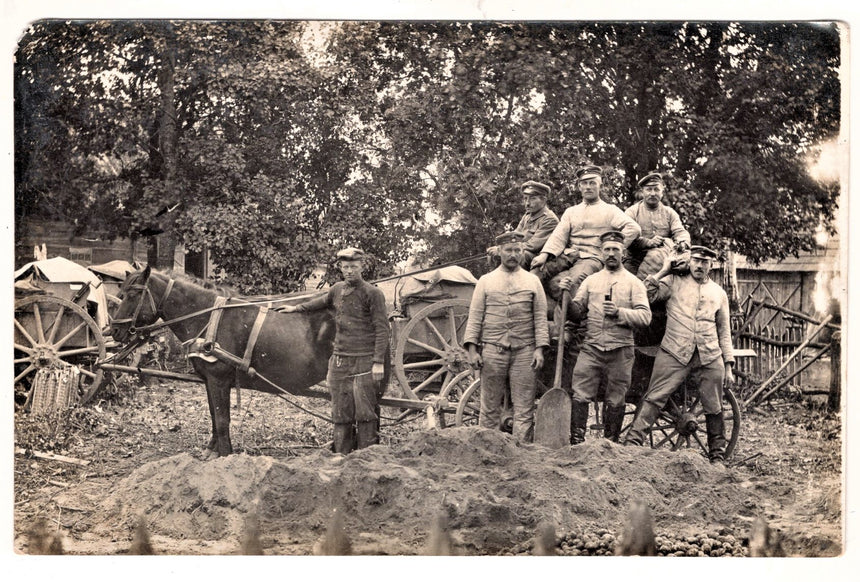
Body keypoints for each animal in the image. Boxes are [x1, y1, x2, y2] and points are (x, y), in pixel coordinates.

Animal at [108, 266, 336, 460]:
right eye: (121, 293)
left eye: (132, 295)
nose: (114, 331)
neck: (209, 318)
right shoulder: (209, 380)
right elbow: (213, 415)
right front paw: (212, 450)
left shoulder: (218, 379)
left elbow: (222, 419)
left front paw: (226, 456)